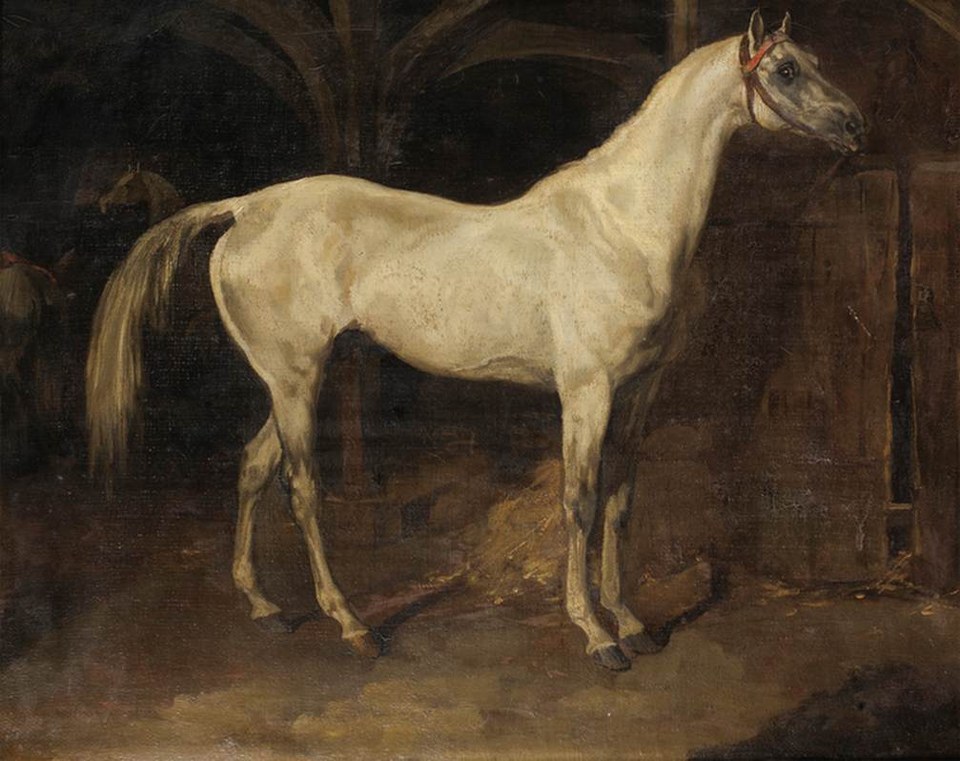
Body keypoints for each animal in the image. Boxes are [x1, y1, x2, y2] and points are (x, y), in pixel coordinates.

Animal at [86, 12, 864, 671]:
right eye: (786, 69)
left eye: (816, 62)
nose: (855, 122)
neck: (621, 224)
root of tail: (247, 207)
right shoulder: (587, 391)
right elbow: (579, 502)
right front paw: (596, 634)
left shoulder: (639, 392)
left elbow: (621, 501)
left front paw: (633, 621)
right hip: (295, 377)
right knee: (301, 489)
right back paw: (352, 625)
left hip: (295, 378)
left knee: (251, 467)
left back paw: (265, 607)